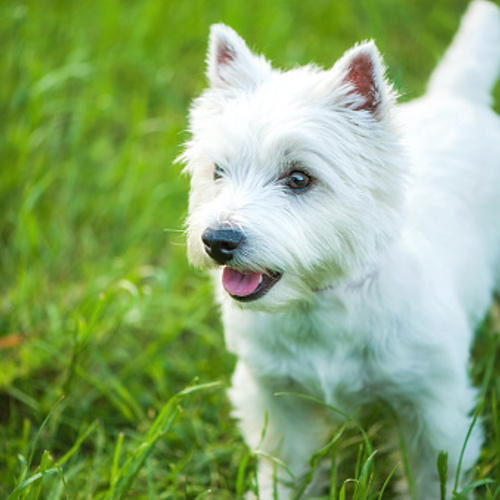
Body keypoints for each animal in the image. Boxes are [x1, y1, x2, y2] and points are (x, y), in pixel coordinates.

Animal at [180, 1, 500, 498]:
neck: (321, 303)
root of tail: (460, 99)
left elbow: (434, 472)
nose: (217, 241)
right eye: (218, 170)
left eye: (299, 178)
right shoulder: (276, 398)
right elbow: (286, 468)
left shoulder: (433, 404)